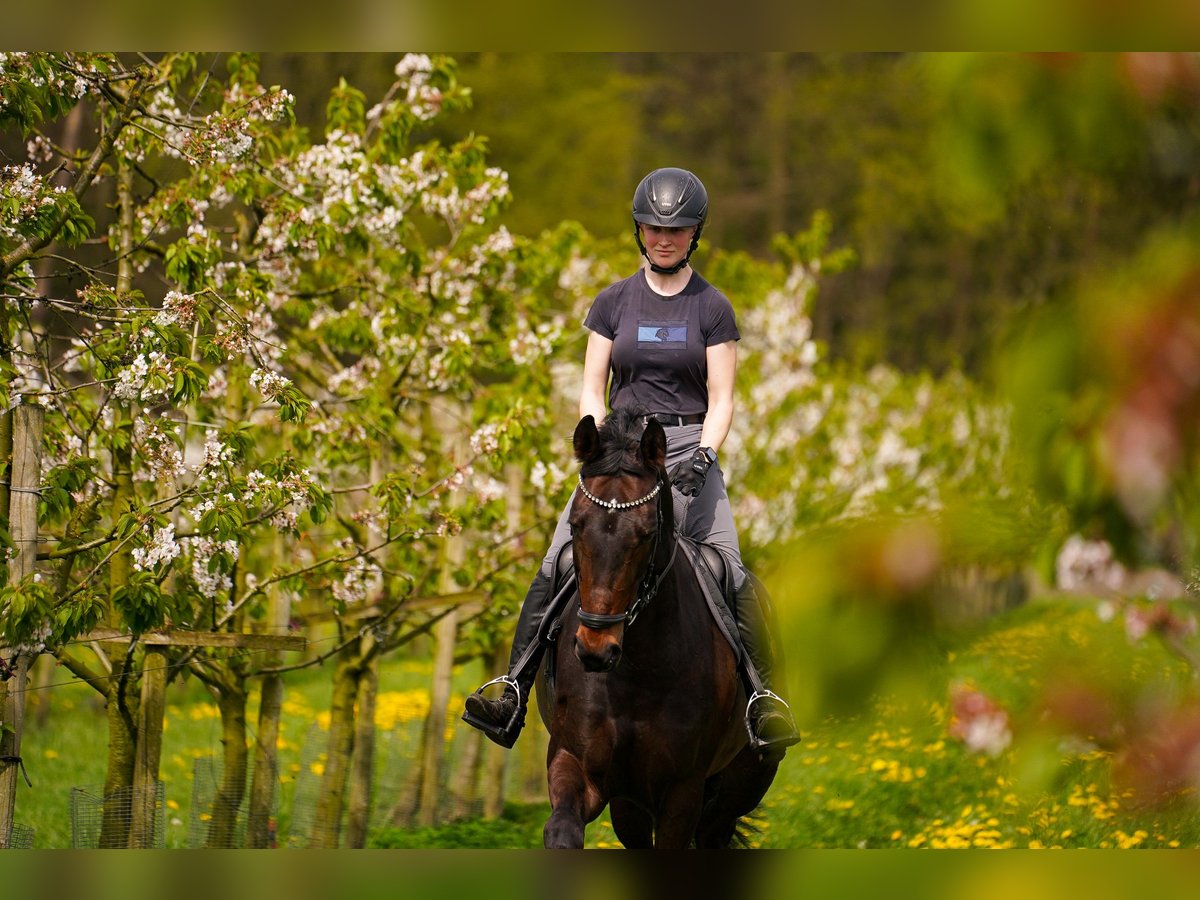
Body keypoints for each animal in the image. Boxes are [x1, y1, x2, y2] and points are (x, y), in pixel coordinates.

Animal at [533, 407, 780, 849]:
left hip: (739, 787)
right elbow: (561, 831)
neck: (637, 671)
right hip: (630, 805)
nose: (595, 649)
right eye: (575, 525)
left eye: (646, 534)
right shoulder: (577, 764)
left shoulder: (683, 791)